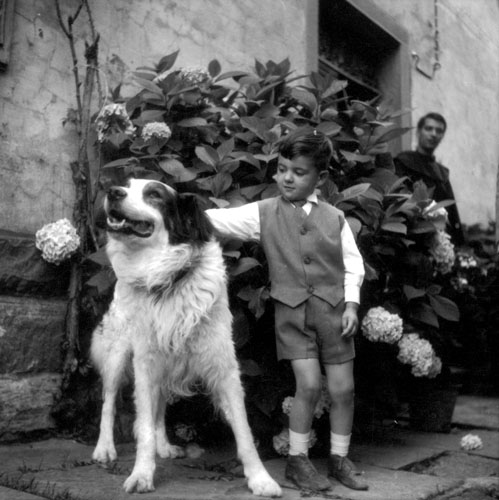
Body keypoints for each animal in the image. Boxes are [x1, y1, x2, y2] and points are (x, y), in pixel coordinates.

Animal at [90, 178, 281, 497]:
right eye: (127, 185)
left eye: (153, 194)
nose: (113, 192)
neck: (168, 278)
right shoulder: (145, 364)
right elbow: (142, 426)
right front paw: (142, 474)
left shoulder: (224, 366)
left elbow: (243, 430)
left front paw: (260, 479)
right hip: (118, 354)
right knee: (108, 401)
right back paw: (104, 448)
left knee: (158, 408)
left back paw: (164, 446)